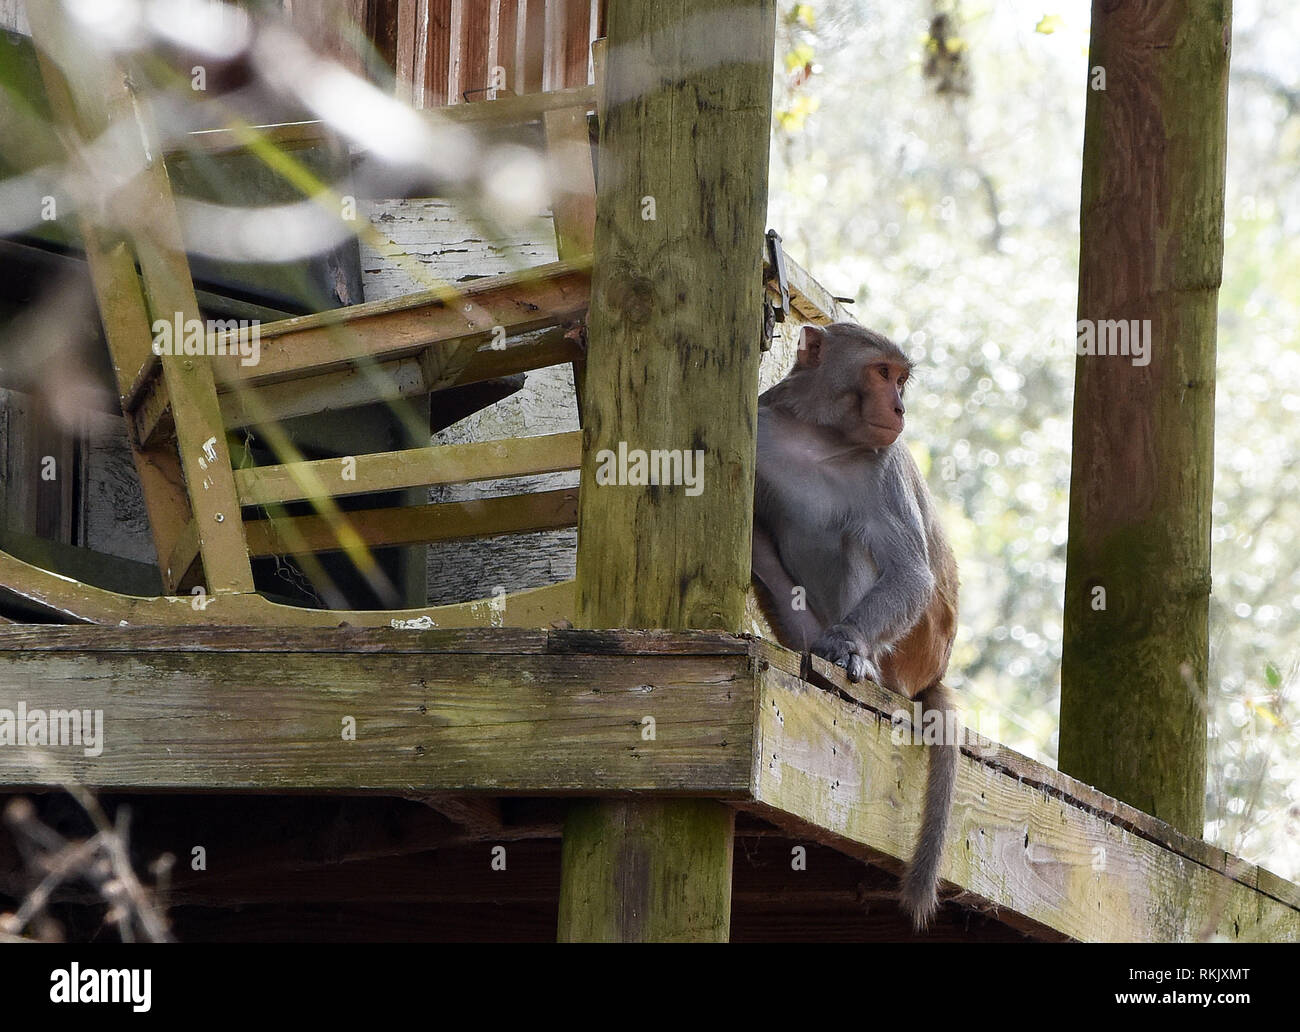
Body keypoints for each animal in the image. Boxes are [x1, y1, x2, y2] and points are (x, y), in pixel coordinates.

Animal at [751, 321, 959, 931]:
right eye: (882, 372)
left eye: (901, 378)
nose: (900, 406)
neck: (818, 435)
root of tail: (931, 674)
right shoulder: (761, 426)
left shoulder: (883, 466)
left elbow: (909, 570)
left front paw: (846, 645)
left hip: (915, 649)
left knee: (858, 539)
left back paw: (859, 661)